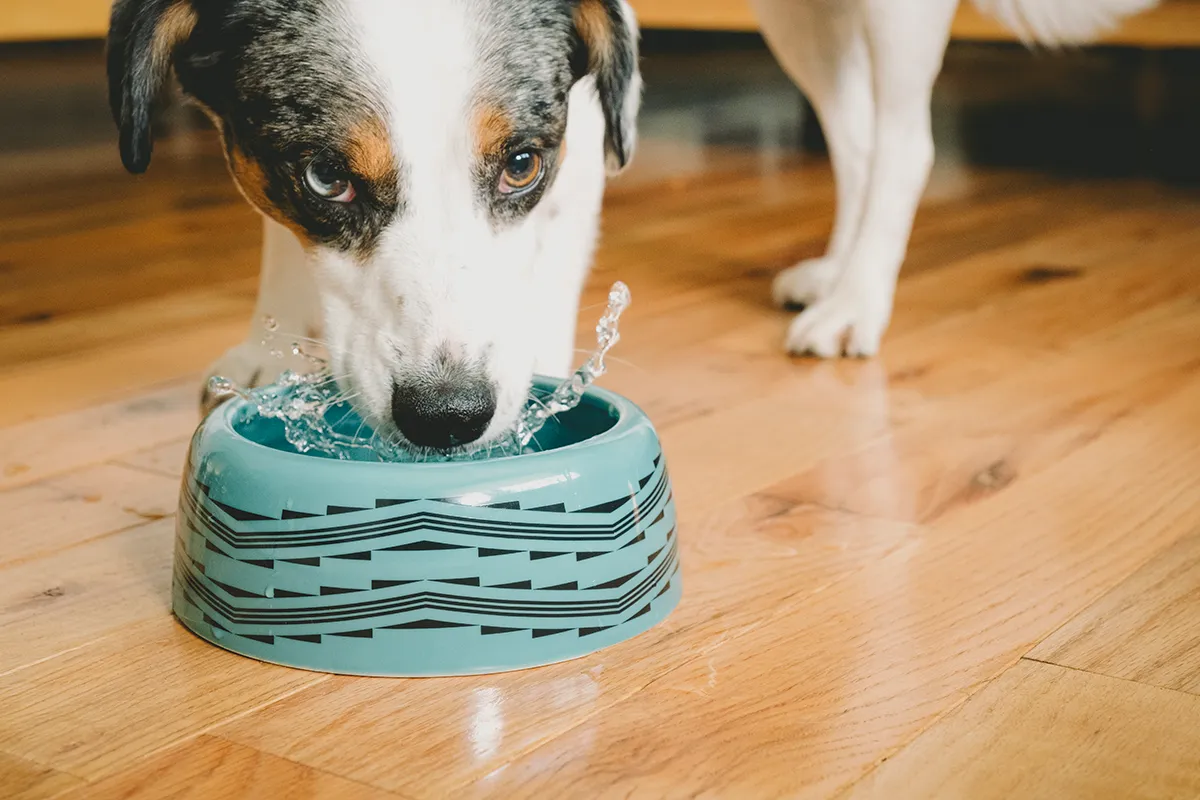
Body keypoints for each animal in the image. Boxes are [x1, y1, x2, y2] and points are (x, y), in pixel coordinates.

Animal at [108, 0, 1156, 450]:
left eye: (521, 163)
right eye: (325, 177)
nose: (448, 418)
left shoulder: (577, 133)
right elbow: (279, 234)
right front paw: (265, 345)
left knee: (902, 143)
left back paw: (860, 298)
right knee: (856, 131)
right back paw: (835, 272)